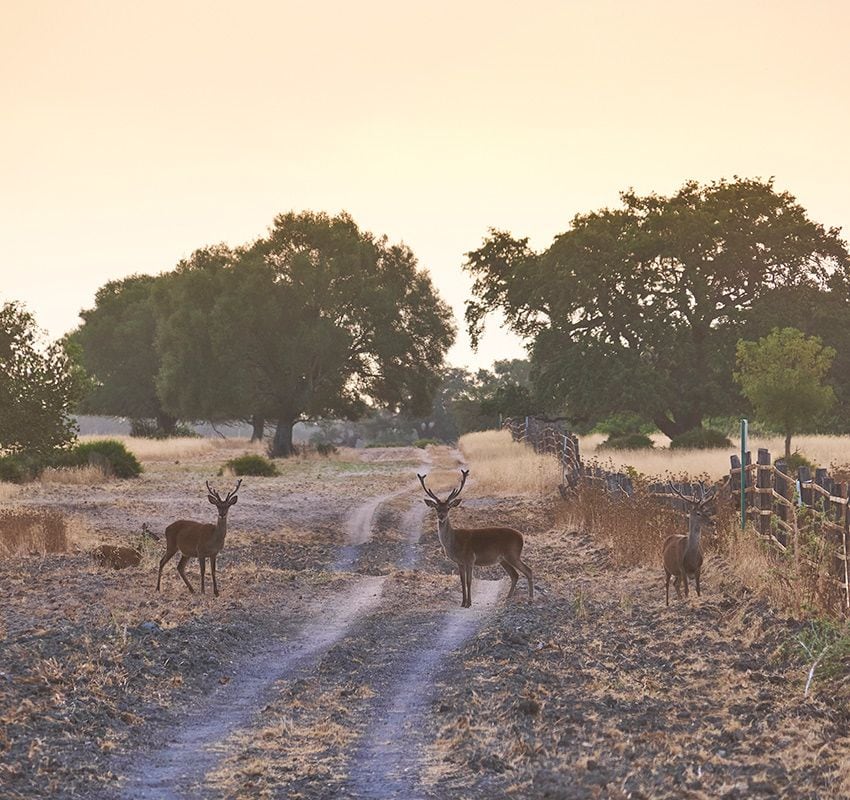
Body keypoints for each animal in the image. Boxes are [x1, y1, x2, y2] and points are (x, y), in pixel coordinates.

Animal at [416, 468, 528, 608]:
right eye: (436, 507)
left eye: (448, 508)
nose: (441, 516)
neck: (453, 542)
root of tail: (521, 537)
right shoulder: (459, 562)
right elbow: (462, 581)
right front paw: (463, 602)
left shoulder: (470, 558)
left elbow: (469, 581)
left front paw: (469, 603)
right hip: (504, 559)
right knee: (515, 575)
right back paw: (509, 597)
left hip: (512, 554)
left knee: (528, 571)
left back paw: (530, 598)